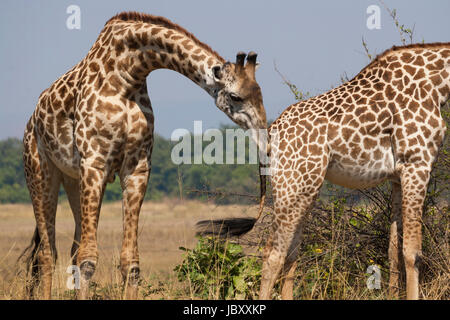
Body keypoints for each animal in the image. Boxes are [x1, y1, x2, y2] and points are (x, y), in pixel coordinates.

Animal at [22, 10, 268, 300]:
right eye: (235, 96)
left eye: (260, 93)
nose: (263, 134)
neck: (127, 74)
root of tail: (31, 121)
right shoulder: (95, 163)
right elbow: (89, 259)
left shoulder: (136, 167)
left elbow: (130, 261)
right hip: (40, 173)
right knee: (47, 253)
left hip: (72, 179)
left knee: (71, 247)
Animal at [200, 42, 450, 300]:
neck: (438, 84)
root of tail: (270, 136)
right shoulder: (417, 164)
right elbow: (413, 252)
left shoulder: (397, 176)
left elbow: (393, 249)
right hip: (296, 185)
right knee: (273, 252)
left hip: (301, 187)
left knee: (291, 252)